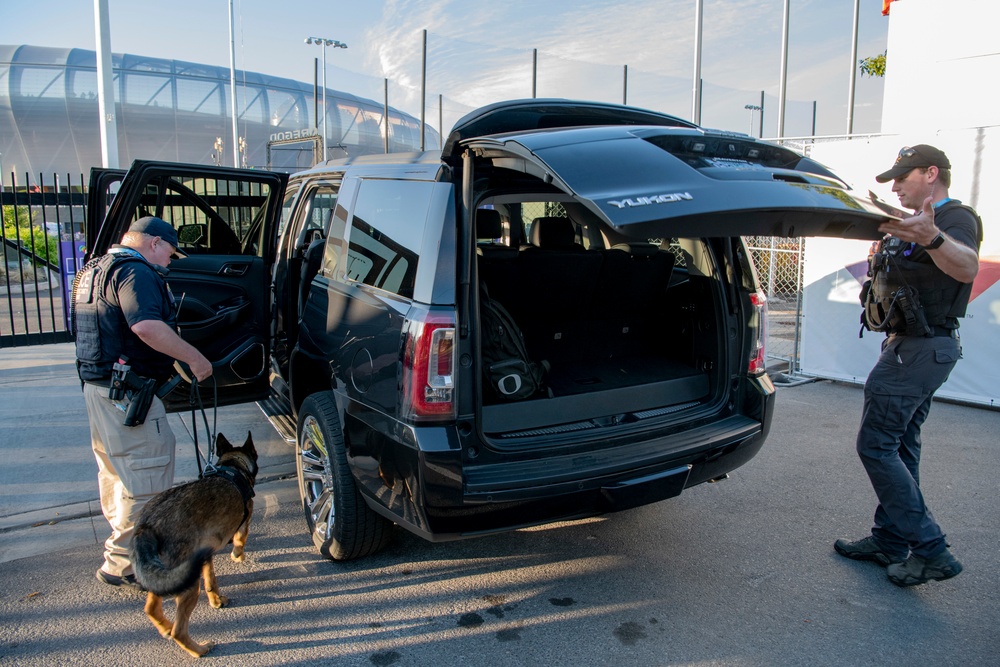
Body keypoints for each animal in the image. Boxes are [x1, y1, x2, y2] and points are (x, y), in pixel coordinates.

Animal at [130, 434, 258, 656]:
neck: (232, 466)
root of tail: (146, 526)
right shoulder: (244, 524)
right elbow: (240, 541)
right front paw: (238, 556)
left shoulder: (205, 557)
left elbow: (211, 581)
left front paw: (216, 601)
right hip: (188, 585)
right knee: (179, 631)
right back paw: (199, 649)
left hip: (171, 576)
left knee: (151, 608)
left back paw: (165, 627)